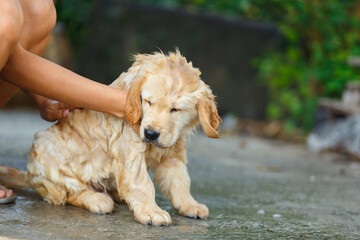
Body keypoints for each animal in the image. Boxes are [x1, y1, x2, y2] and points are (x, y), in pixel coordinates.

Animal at [2, 50, 221, 225]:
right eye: (148, 102)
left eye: (175, 109)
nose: (150, 134)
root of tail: (30, 175)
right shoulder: (130, 150)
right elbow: (142, 183)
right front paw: (152, 212)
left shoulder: (173, 153)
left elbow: (180, 181)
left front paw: (190, 205)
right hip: (46, 149)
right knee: (68, 192)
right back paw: (98, 200)